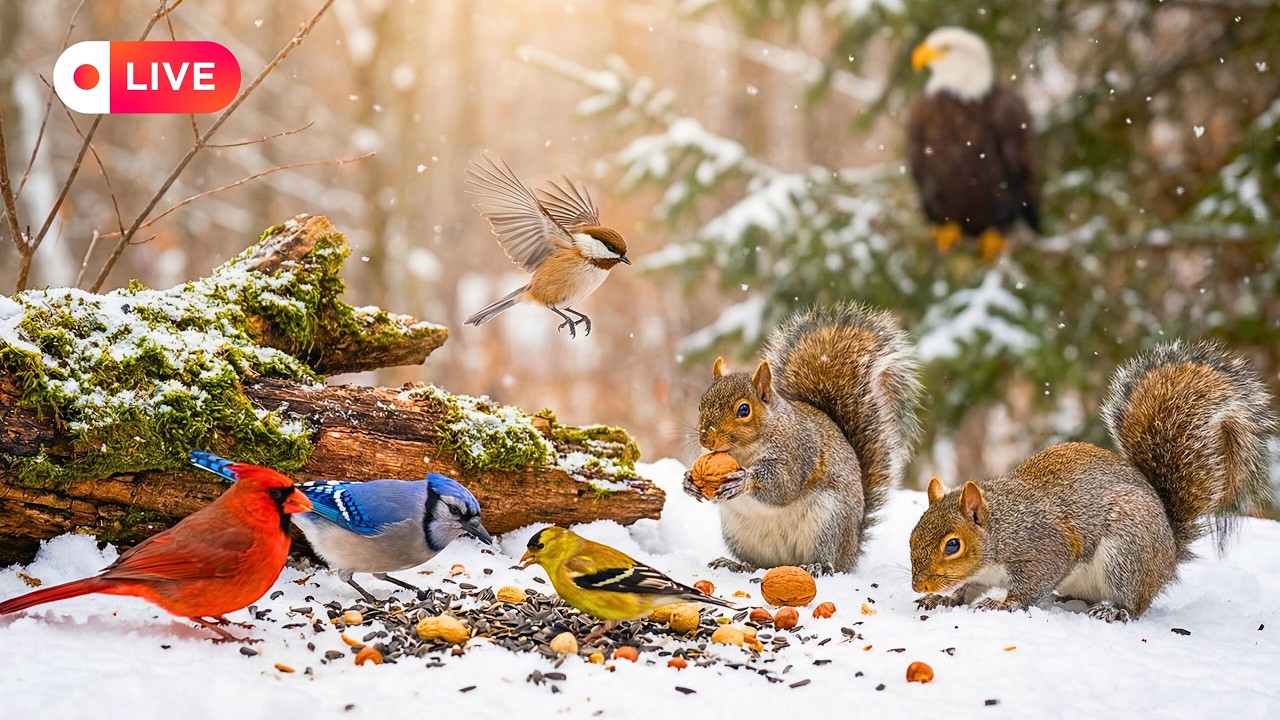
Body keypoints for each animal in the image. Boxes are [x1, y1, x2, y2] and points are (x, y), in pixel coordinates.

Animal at [683, 302, 922, 575]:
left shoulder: (797, 452)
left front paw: (744, 479)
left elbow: (783, 484)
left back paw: (816, 566)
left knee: (829, 560)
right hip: (739, 533)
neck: (743, 451)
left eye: (743, 410)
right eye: (701, 404)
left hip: (828, 521)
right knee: (758, 563)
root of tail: (851, 551)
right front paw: (688, 482)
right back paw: (737, 565)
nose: (705, 440)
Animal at [910, 340, 1276, 622]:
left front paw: (1002, 604)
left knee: (1136, 604)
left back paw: (1115, 610)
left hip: (1126, 554)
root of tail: (1170, 552)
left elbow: (1032, 585)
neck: (1001, 527)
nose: (919, 586)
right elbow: (968, 587)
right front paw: (943, 598)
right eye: (912, 536)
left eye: (953, 545)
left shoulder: (1045, 547)